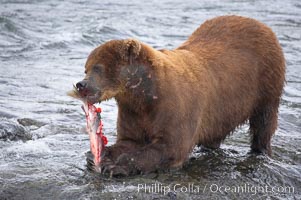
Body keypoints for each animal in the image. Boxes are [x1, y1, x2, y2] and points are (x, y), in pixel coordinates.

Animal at [74, 14, 284, 176]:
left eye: (98, 67)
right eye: (86, 68)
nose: (81, 84)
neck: (145, 95)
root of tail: (262, 25)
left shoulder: (175, 106)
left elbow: (171, 146)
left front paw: (117, 165)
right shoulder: (132, 111)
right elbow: (129, 139)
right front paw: (98, 155)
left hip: (266, 84)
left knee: (263, 123)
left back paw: (260, 151)